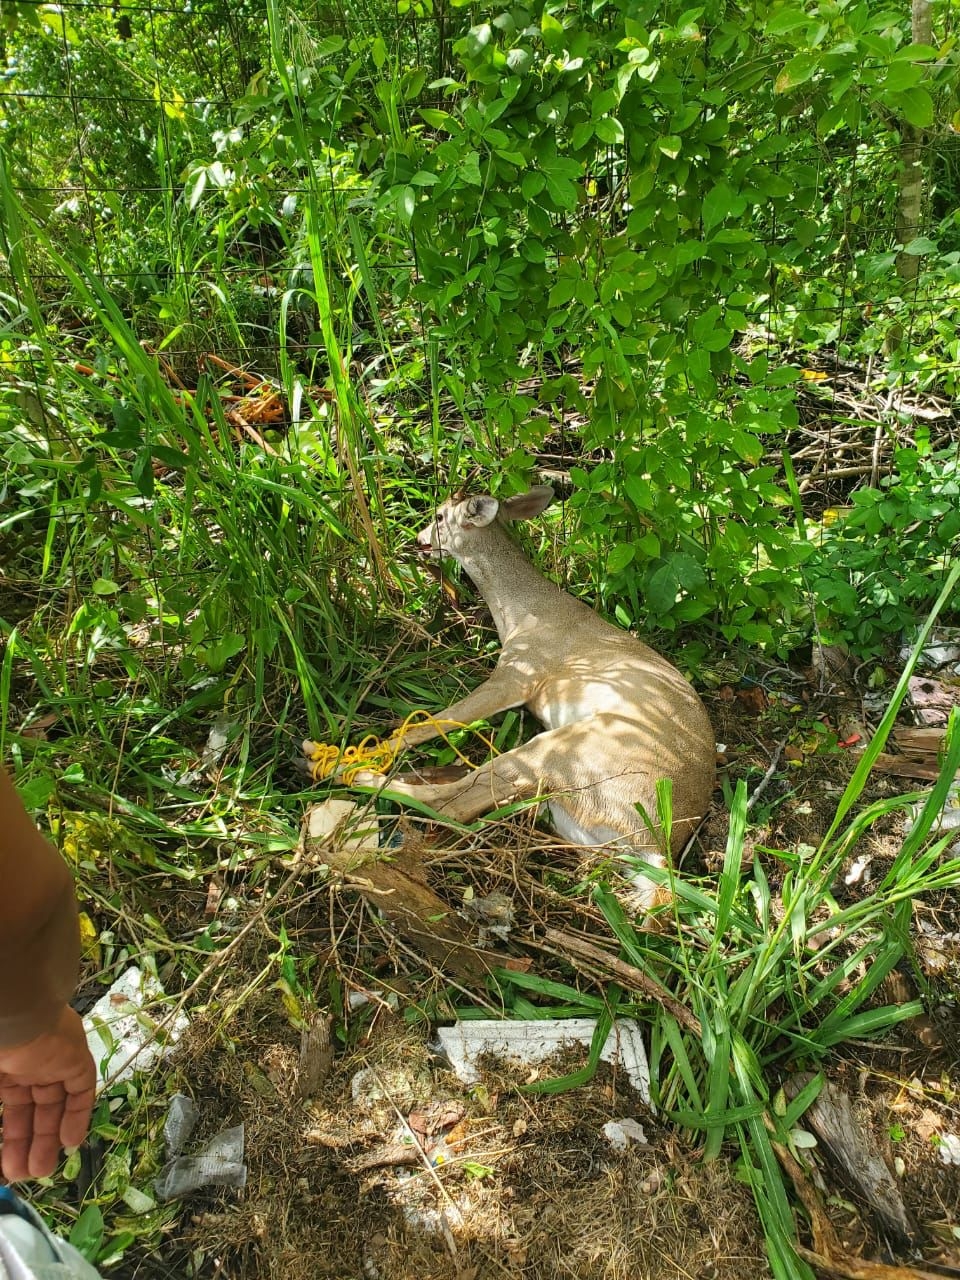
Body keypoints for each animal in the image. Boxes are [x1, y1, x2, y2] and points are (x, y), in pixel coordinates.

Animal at [304, 486, 716, 911]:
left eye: (439, 516)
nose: (417, 539)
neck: (521, 612)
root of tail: (658, 848)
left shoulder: (518, 673)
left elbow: (438, 721)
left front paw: (377, 748)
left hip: (573, 749)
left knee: (449, 805)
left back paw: (334, 765)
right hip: (567, 811)